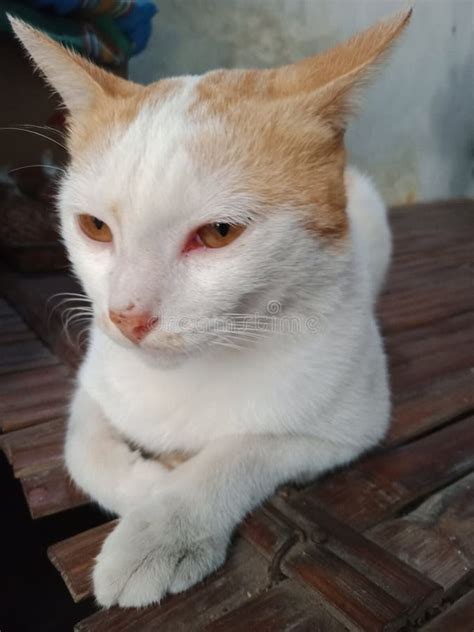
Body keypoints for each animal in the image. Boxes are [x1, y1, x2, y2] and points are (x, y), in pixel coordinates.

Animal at [11, 9, 412, 608]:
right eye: (95, 227)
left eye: (219, 233)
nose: (127, 316)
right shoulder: (94, 380)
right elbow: (82, 450)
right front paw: (145, 486)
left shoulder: (347, 427)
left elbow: (241, 451)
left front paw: (164, 525)